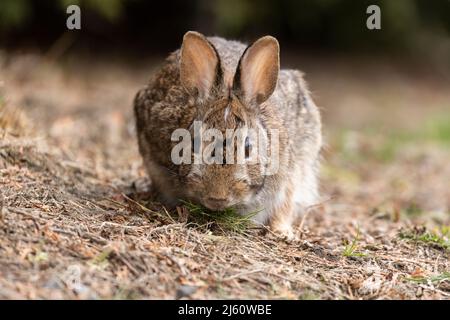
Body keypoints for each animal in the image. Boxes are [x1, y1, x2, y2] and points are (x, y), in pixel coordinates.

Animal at [132, 31, 322, 238]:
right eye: (194, 143)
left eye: (248, 148)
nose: (217, 197)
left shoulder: (291, 174)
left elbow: (284, 206)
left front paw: (281, 232)